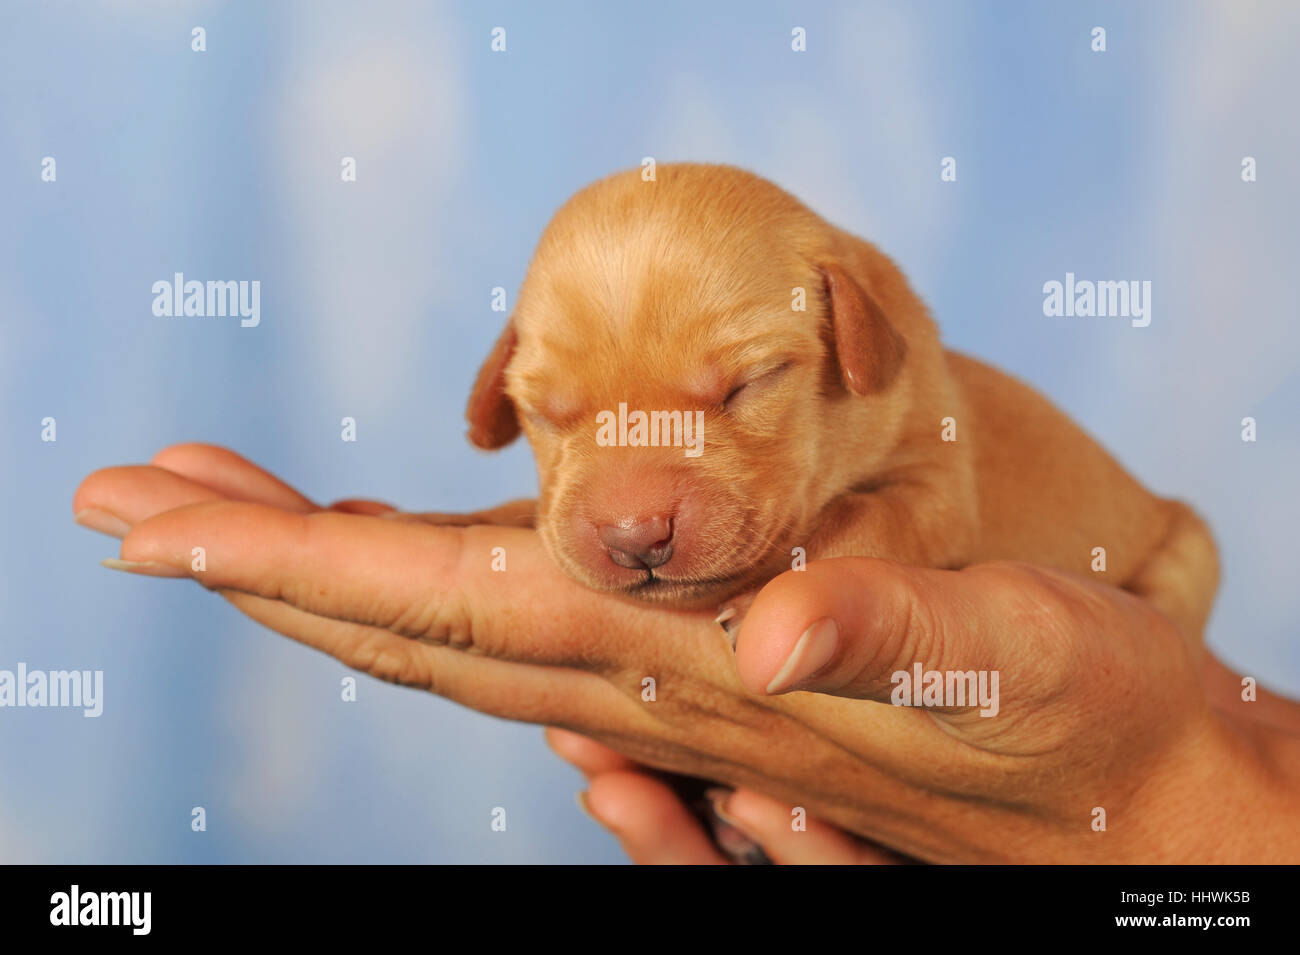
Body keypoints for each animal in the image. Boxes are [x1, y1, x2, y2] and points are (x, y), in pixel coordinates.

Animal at [439, 164, 1216, 647]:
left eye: (749, 385)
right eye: (545, 415)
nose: (635, 539)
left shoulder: (935, 489)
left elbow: (863, 514)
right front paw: (476, 515)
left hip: (1191, 549)